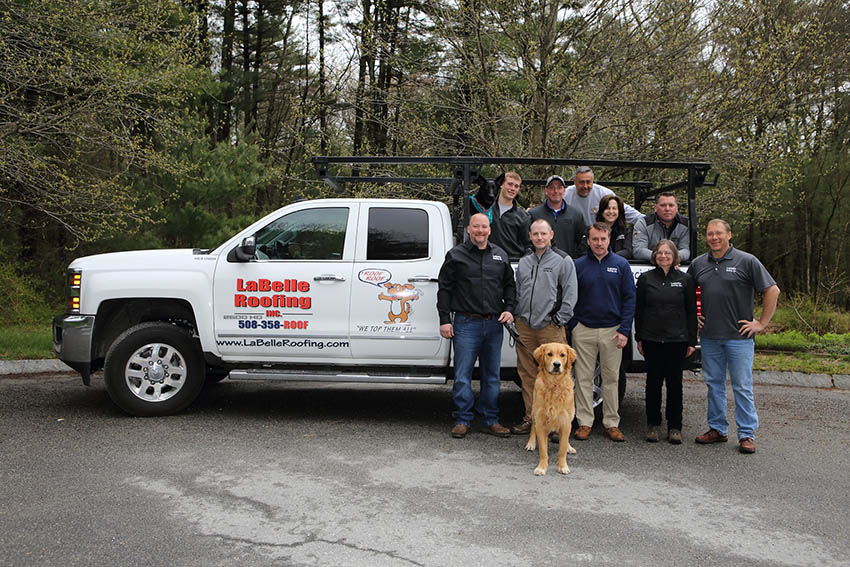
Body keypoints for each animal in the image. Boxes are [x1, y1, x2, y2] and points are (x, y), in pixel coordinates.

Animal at [524, 342, 576, 474]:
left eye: (562, 355)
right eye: (549, 354)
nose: (557, 364)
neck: (554, 384)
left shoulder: (565, 421)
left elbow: (562, 449)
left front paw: (563, 466)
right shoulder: (541, 421)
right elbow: (543, 451)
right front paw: (541, 467)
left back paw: (569, 447)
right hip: (534, 409)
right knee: (532, 426)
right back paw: (531, 443)